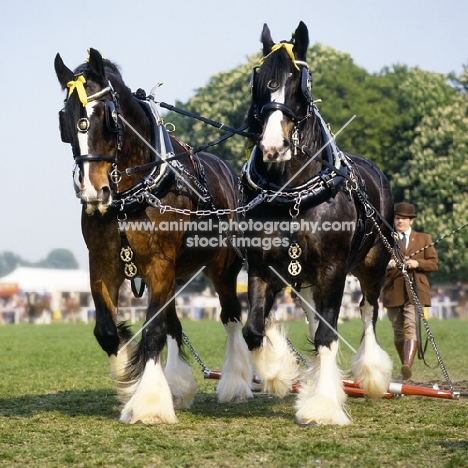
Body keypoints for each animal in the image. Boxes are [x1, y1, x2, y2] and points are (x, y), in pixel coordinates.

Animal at [54, 48, 252, 424]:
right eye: (65, 120)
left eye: (108, 118)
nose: (93, 193)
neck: (133, 193)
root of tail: (228, 173)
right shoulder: (103, 264)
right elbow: (108, 331)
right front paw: (127, 382)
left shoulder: (160, 263)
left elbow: (152, 332)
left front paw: (147, 403)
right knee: (173, 322)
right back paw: (178, 385)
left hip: (222, 267)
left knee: (231, 315)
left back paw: (236, 384)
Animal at [241, 21, 394, 424]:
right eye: (260, 79)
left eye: (300, 83)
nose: (273, 147)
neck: (294, 194)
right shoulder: (262, 267)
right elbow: (253, 329)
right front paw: (279, 372)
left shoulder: (334, 269)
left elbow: (328, 335)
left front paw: (323, 406)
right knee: (313, 316)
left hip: (373, 264)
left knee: (368, 310)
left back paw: (371, 375)